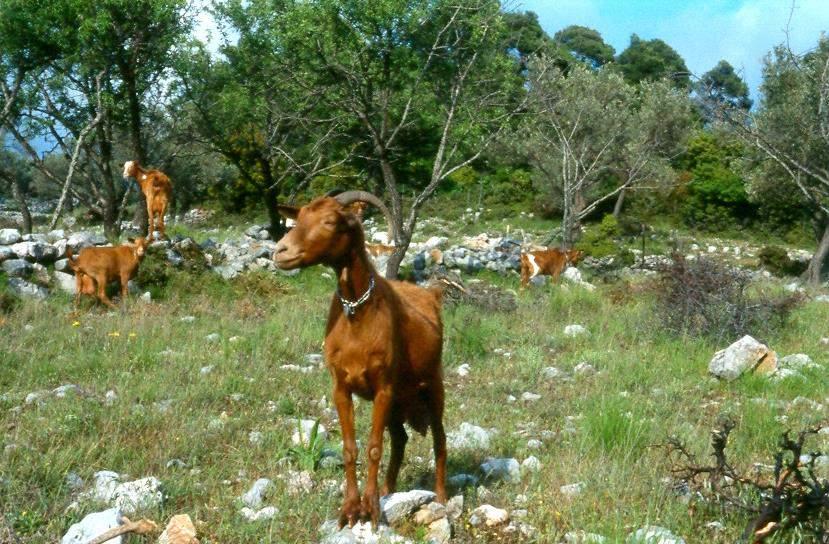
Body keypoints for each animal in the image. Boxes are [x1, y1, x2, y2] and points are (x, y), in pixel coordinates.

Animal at [274, 191, 446, 528]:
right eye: (298, 219)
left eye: (330, 221)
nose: (280, 251)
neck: (357, 312)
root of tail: (432, 295)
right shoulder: (341, 387)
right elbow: (350, 449)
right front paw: (352, 509)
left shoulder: (383, 387)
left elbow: (374, 448)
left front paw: (372, 510)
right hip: (399, 400)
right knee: (401, 439)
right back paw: (387, 489)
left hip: (433, 385)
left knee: (439, 440)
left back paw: (442, 499)